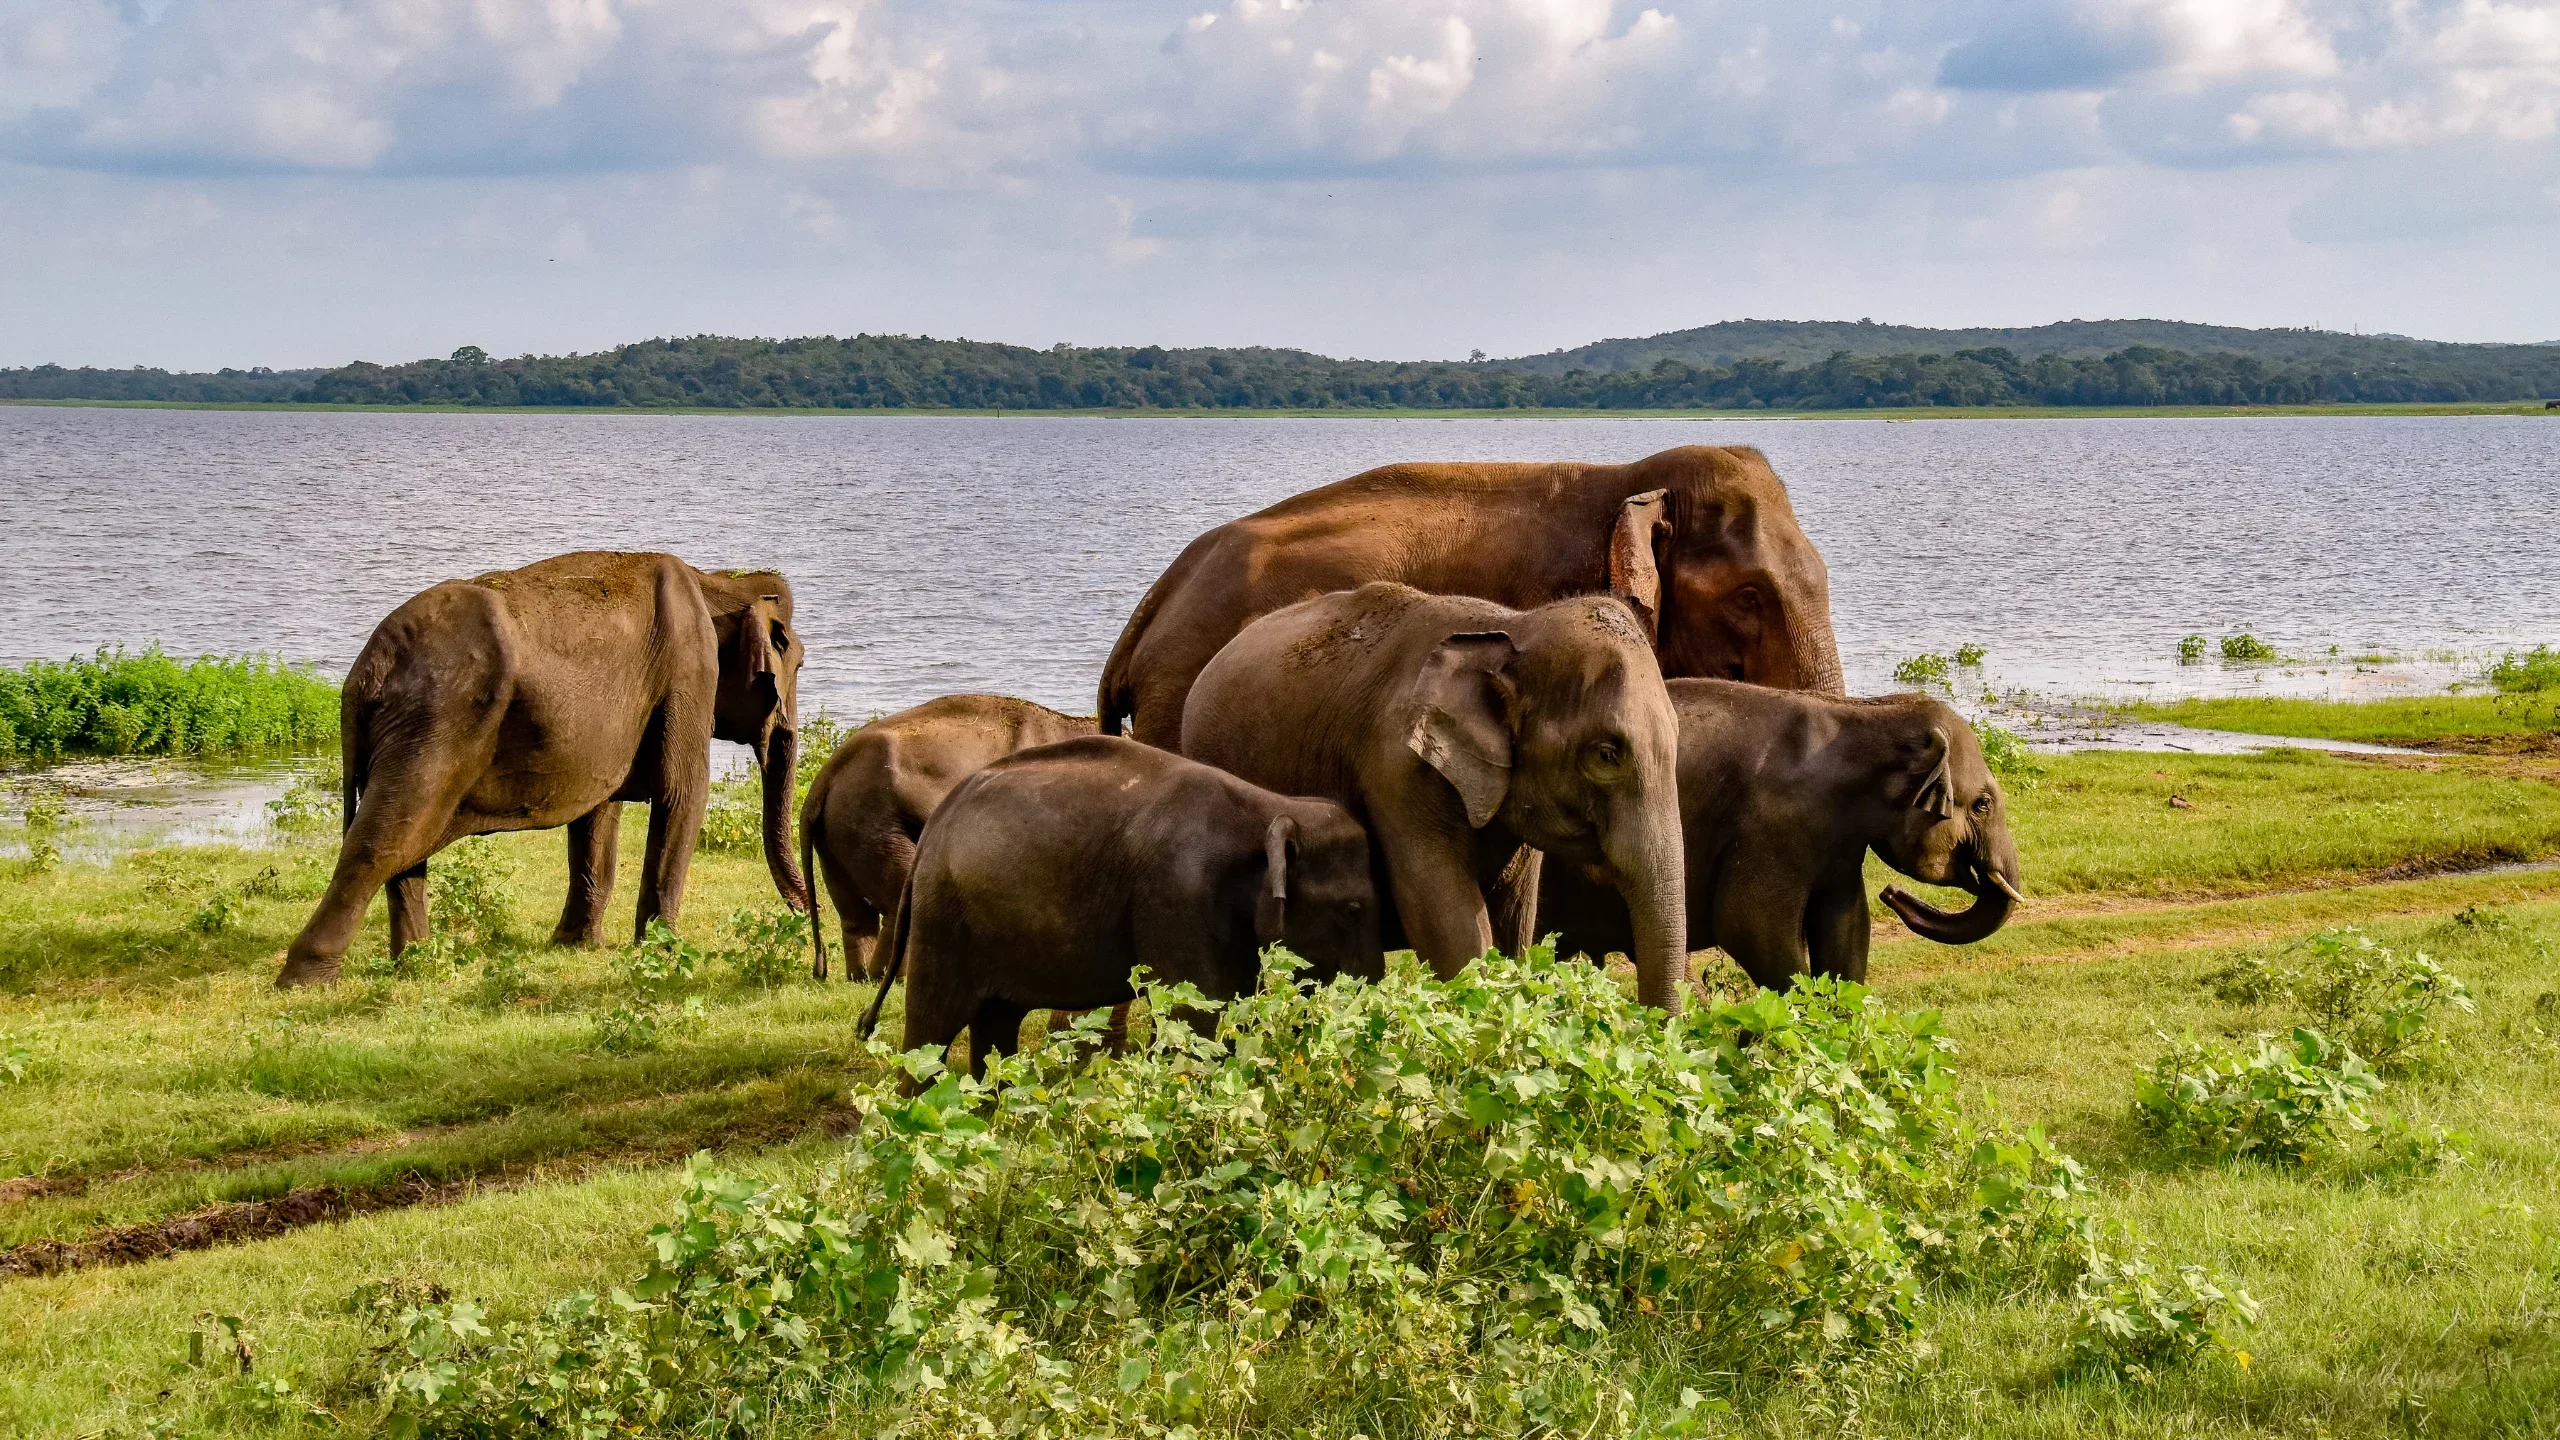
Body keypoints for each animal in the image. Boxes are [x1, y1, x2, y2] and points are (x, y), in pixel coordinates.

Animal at [275, 551, 809, 988]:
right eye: (798, 664)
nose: (806, 918)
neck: (717, 581)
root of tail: (365, 670)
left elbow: (598, 814)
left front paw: (576, 944)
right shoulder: (688, 674)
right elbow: (683, 796)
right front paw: (661, 953)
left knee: (405, 845)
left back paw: (418, 963)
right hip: (433, 726)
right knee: (382, 841)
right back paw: (306, 982)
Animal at [799, 694, 1095, 981]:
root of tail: (826, 774)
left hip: (836, 835)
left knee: (853, 913)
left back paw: (862, 977)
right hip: (870, 821)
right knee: (899, 900)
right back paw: (890, 976)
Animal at [856, 735, 1384, 1080]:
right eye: (1354, 908)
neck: (1268, 805)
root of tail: (931, 832)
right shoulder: (1176, 896)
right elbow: (1198, 1014)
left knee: (996, 1025)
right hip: (944, 919)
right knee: (932, 1030)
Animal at [1535, 680, 2025, 992]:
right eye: (1983, 804)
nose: (1893, 893)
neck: (1866, 714)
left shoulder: (1839, 845)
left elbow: (1847, 929)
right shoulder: (1772, 825)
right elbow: (1749, 927)